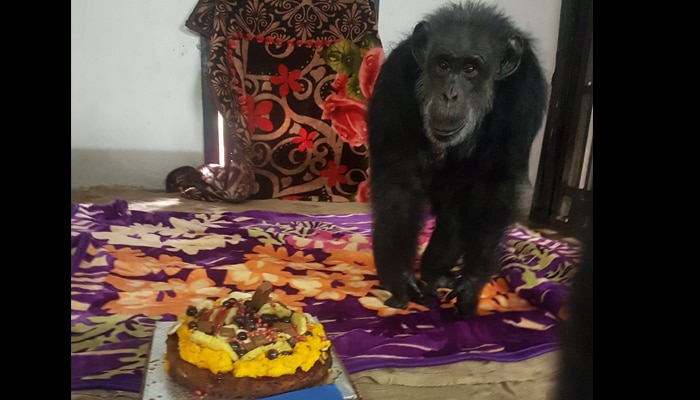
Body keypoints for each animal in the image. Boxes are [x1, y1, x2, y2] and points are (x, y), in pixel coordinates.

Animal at [364, 0, 548, 318]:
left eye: (471, 69)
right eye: (443, 65)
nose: (450, 95)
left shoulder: (525, 92)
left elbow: (494, 182)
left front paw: (472, 283)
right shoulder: (395, 79)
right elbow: (401, 180)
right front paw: (400, 277)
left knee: (455, 216)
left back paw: (436, 272)